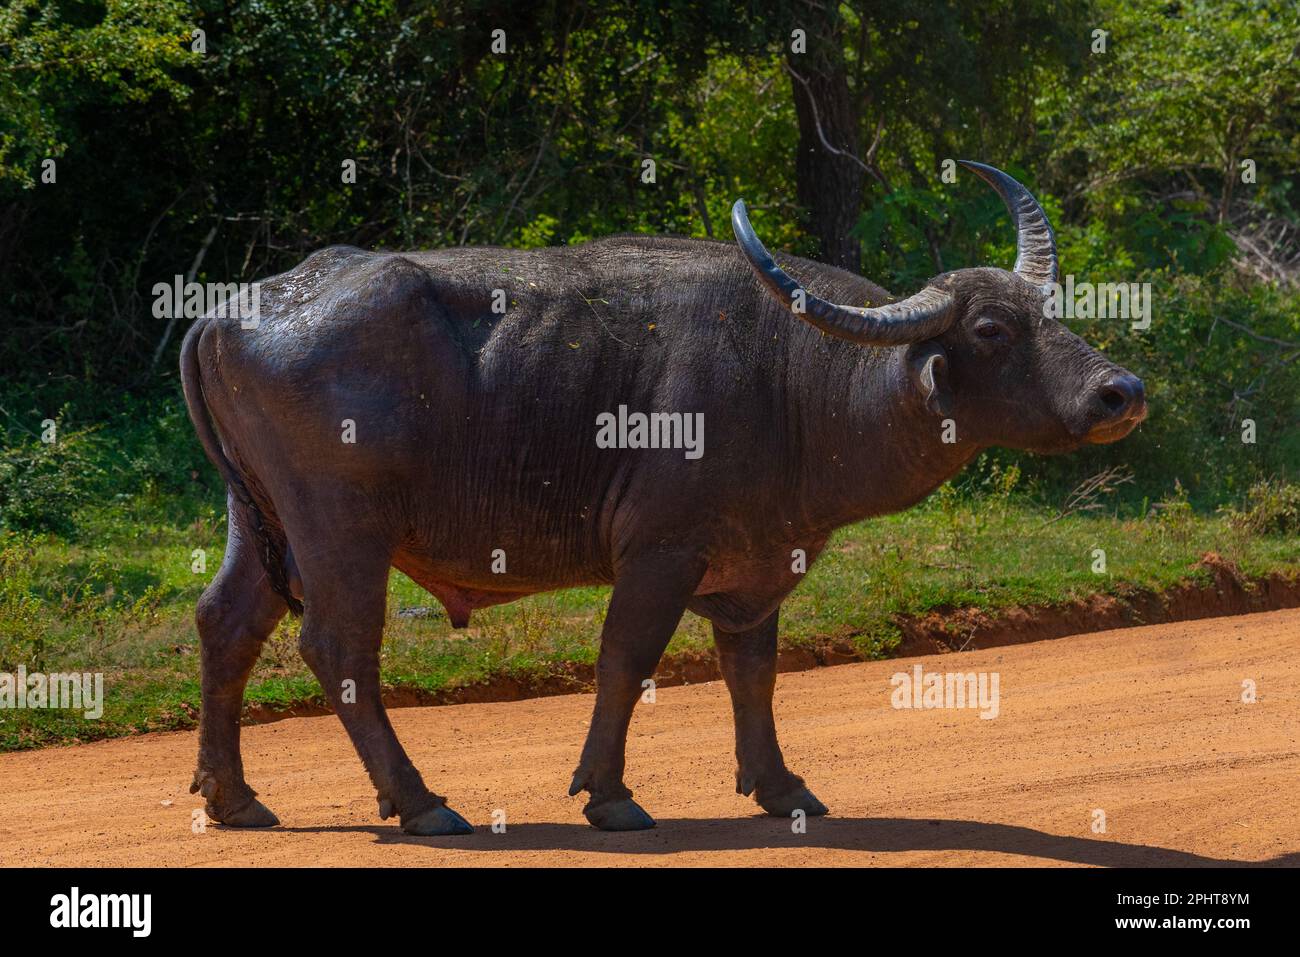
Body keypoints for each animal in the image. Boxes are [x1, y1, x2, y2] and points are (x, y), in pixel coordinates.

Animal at [181, 161, 1146, 834]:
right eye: (991, 328)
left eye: (1051, 309)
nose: (1120, 392)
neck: (793, 377)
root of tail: (237, 308)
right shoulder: (660, 552)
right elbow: (626, 660)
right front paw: (608, 794)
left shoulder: (760, 561)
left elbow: (752, 671)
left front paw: (782, 787)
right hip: (341, 529)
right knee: (338, 647)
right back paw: (420, 802)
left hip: (261, 523)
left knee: (227, 625)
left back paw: (234, 798)